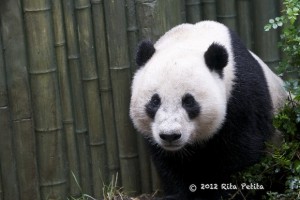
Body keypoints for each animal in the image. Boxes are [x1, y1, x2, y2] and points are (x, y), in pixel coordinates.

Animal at [129, 21, 288, 199]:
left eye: (189, 102)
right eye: (155, 101)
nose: (170, 135)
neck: (190, 40)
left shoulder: (241, 95)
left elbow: (241, 150)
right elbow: (170, 164)